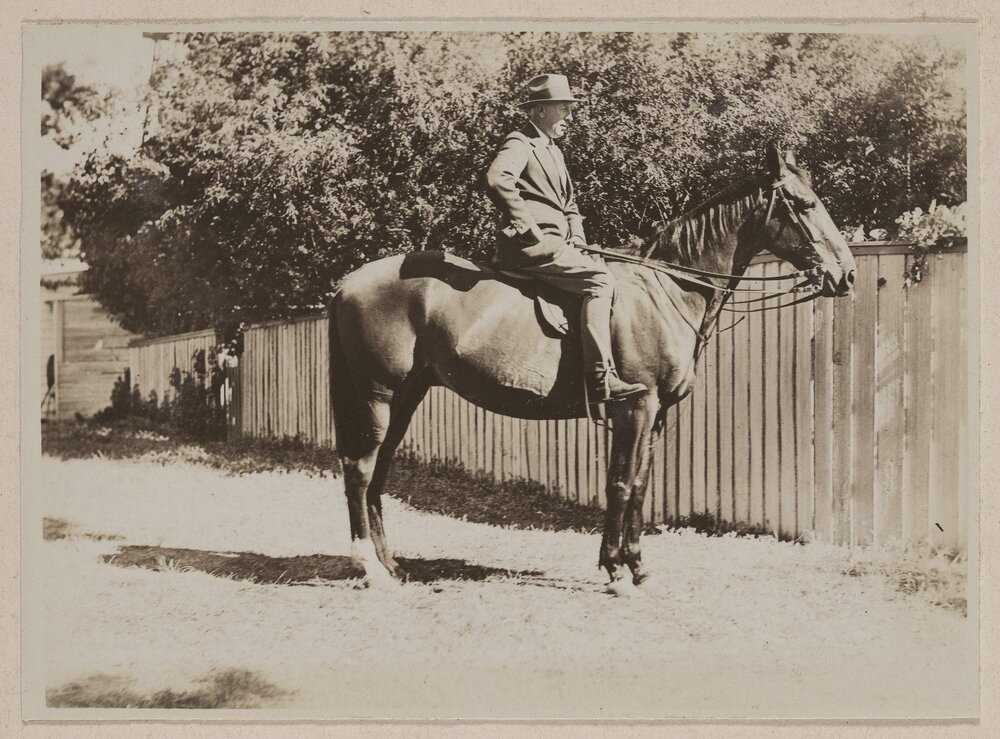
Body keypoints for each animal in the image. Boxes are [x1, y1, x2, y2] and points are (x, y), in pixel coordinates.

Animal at [328, 145, 857, 595]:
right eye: (805, 203)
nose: (847, 274)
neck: (665, 291)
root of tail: (348, 283)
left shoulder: (657, 415)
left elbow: (640, 486)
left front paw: (638, 567)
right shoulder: (635, 407)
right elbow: (619, 484)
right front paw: (615, 571)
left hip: (406, 397)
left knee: (378, 473)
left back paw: (391, 563)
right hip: (378, 395)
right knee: (360, 470)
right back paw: (370, 567)